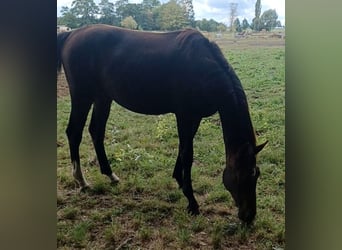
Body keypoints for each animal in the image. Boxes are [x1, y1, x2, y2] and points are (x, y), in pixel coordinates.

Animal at [56, 24, 268, 224]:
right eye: (244, 174)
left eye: (256, 174)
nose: (249, 216)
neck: (201, 66)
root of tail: (72, 33)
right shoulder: (184, 115)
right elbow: (187, 154)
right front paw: (192, 202)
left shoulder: (195, 117)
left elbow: (182, 149)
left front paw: (179, 181)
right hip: (82, 96)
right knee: (74, 132)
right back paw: (81, 181)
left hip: (102, 97)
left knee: (96, 132)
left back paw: (110, 175)